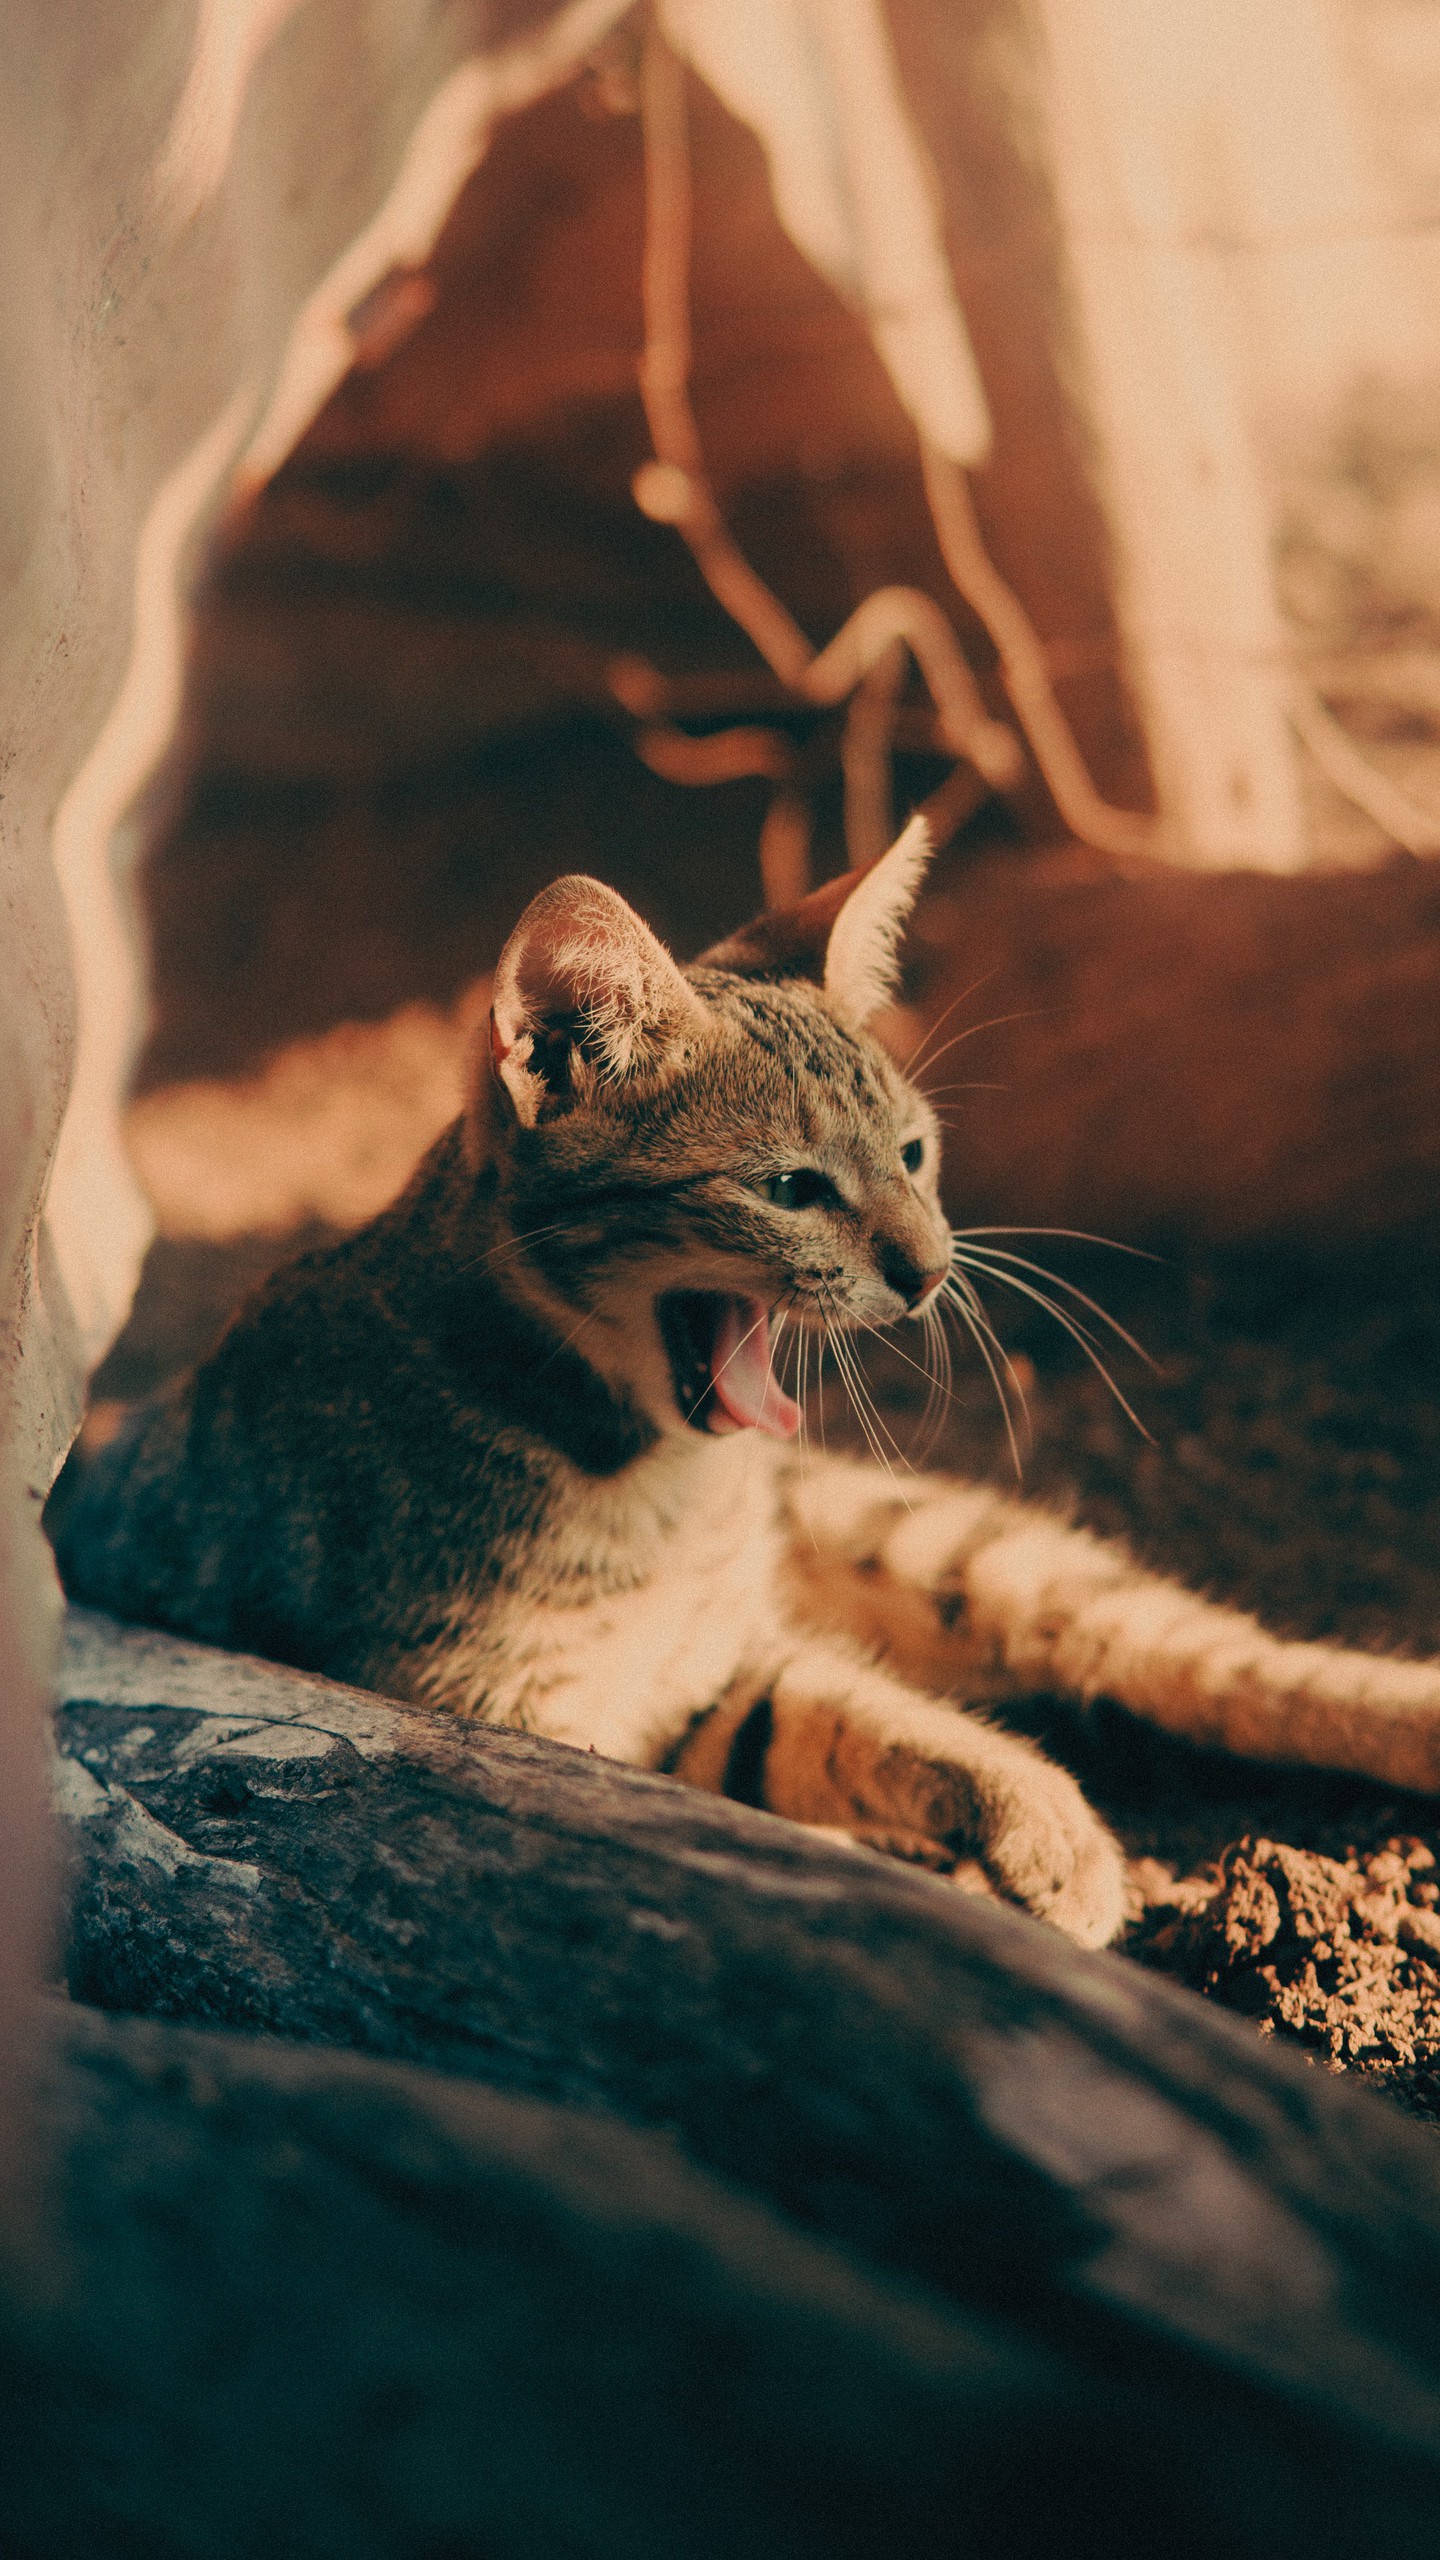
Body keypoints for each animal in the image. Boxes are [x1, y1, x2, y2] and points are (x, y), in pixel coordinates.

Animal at [56, 819, 1440, 1935]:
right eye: (790, 1187)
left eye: (915, 1155)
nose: (933, 1268)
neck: (646, 1480)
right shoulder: (552, 1720)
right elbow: (824, 1737)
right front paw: (1025, 1824)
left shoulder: (707, 1670)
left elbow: (863, 1713)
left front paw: (1044, 1823)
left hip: (943, 1545)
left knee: (1211, 1655)